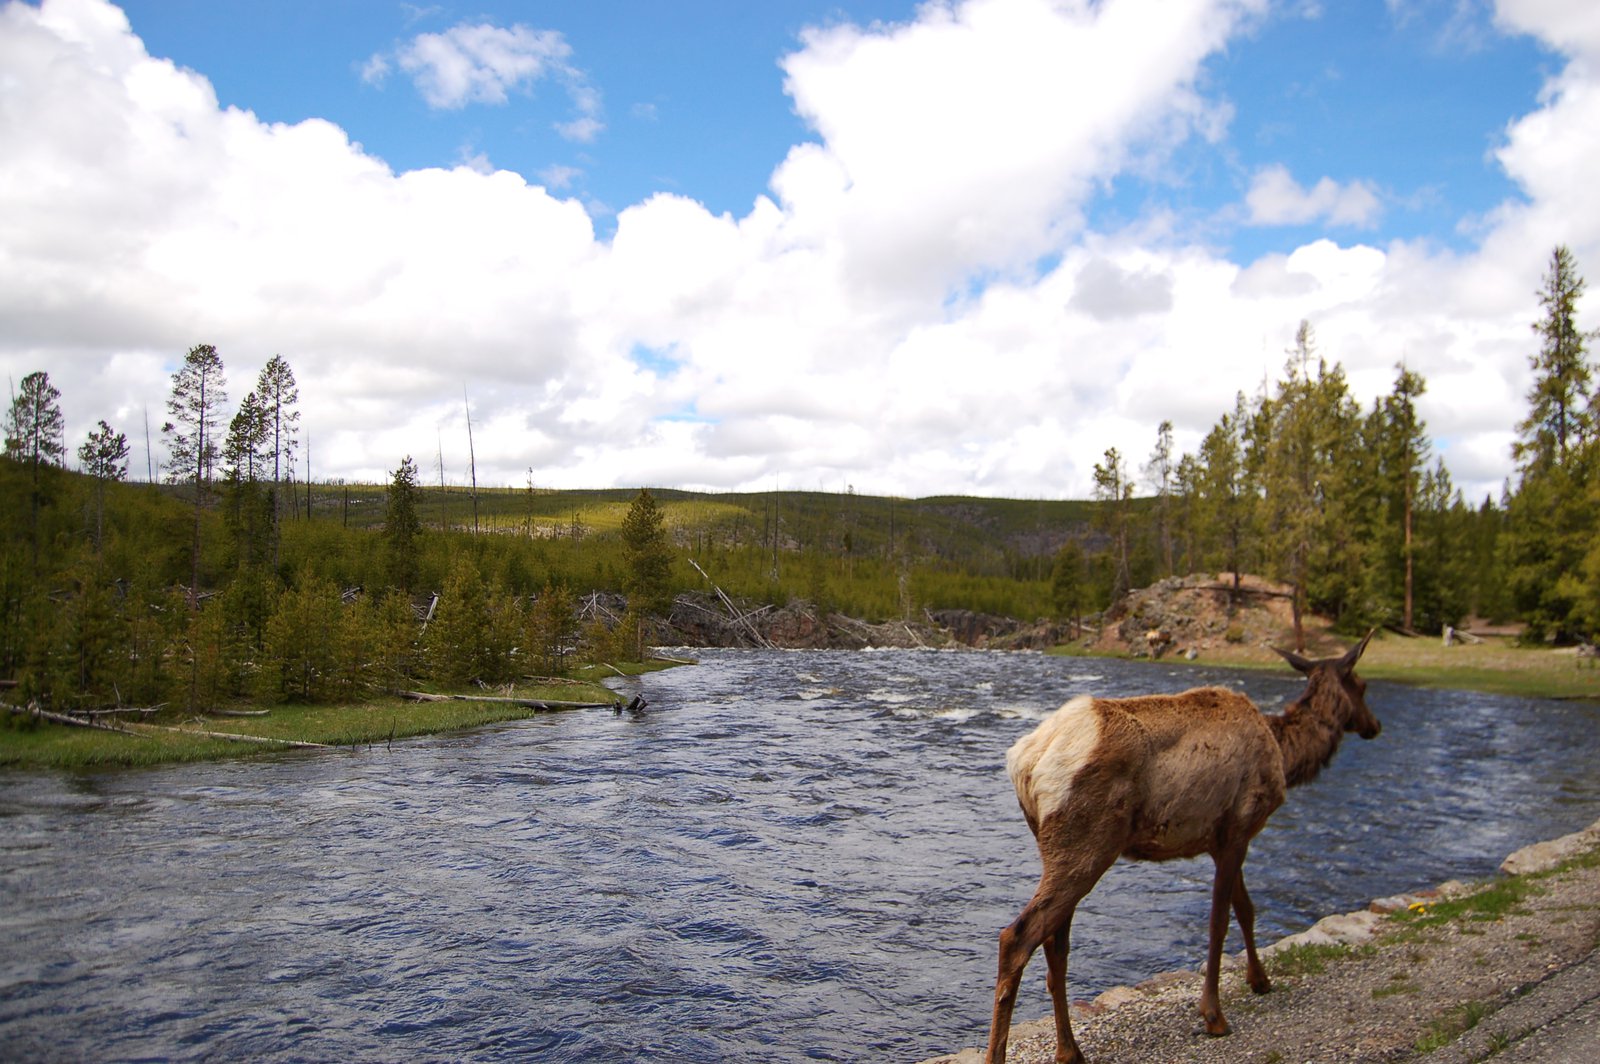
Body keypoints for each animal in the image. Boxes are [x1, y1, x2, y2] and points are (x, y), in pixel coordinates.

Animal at [979, 633, 1382, 1056]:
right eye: (1362, 686)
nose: (1375, 725)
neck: (1285, 755)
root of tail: (1023, 762)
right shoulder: (1238, 827)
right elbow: (1220, 922)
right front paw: (1214, 1015)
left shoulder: (1221, 839)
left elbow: (1246, 910)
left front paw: (1260, 980)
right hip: (1085, 846)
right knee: (1017, 937)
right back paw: (1004, 1054)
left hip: (1059, 849)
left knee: (1056, 946)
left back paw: (1070, 1051)